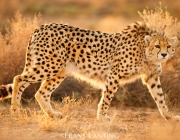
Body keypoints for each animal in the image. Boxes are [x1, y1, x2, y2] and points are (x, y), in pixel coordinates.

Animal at [0, 21, 179, 120]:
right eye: (157, 46)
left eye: (169, 46)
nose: (164, 54)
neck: (145, 53)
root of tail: (41, 27)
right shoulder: (114, 74)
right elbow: (107, 97)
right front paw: (102, 116)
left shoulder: (152, 77)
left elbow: (160, 98)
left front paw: (169, 117)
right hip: (49, 66)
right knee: (19, 79)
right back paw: (16, 110)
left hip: (59, 70)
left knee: (41, 92)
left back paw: (52, 115)